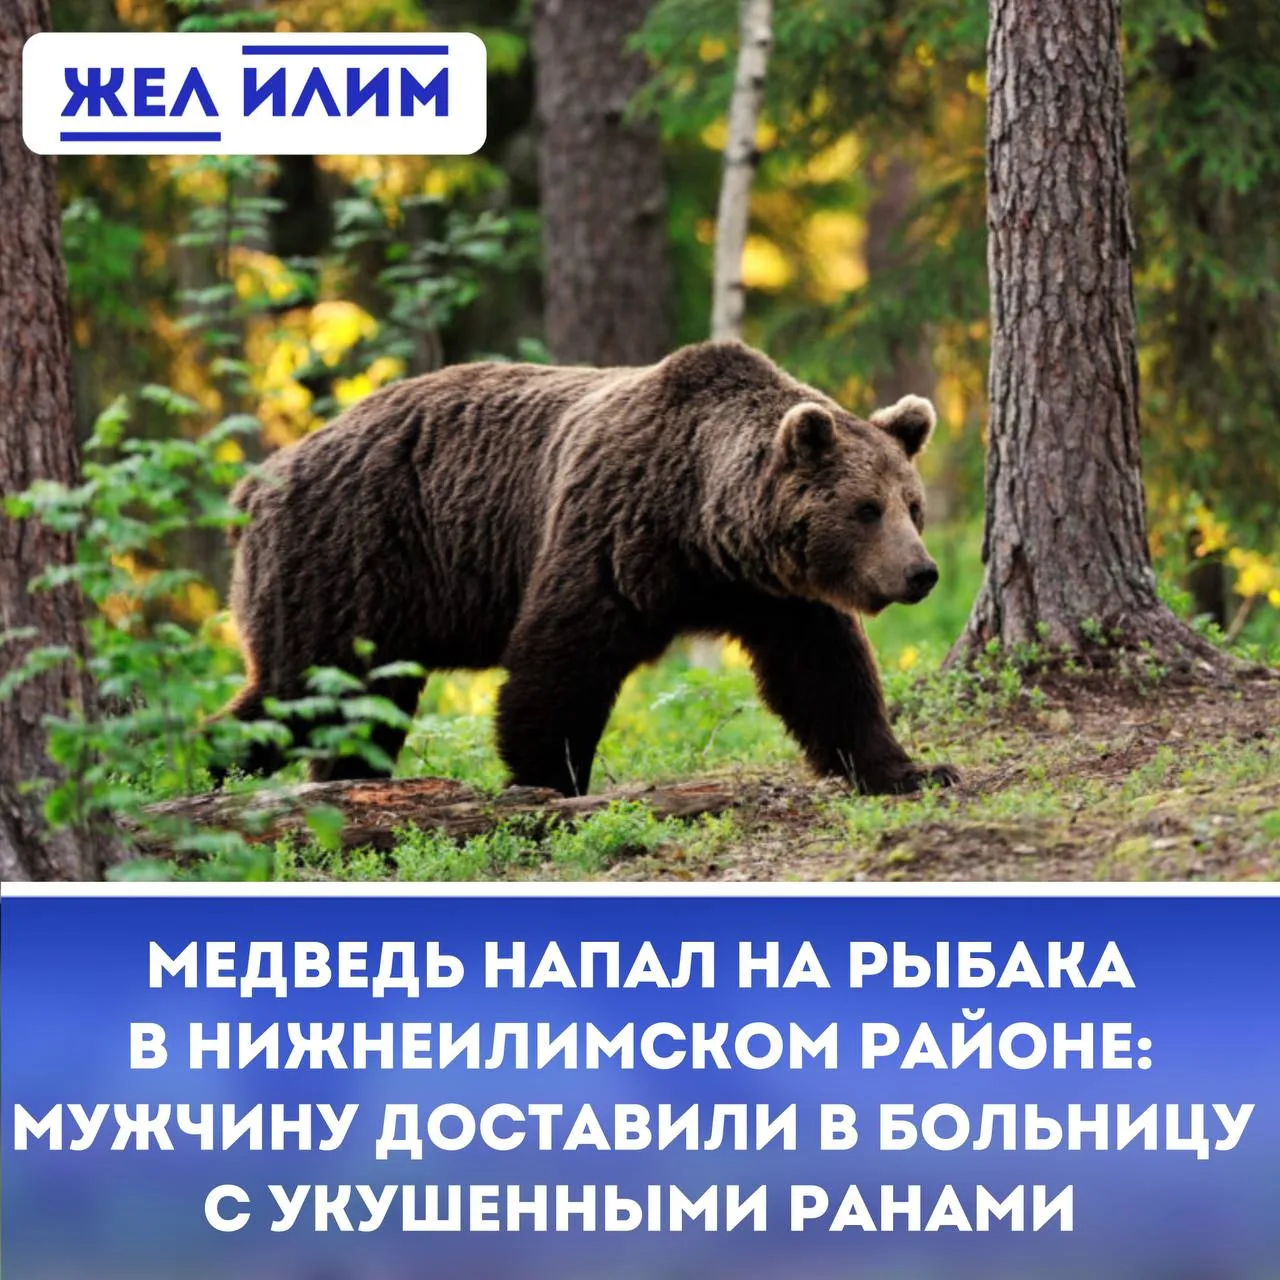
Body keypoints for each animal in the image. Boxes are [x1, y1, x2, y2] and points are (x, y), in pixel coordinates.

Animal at [217, 340, 958, 797]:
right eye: (866, 509)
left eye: (912, 506)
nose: (921, 573)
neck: (704, 526)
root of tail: (258, 480)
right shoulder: (613, 534)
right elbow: (561, 662)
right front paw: (549, 779)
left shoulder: (775, 594)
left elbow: (827, 676)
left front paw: (910, 770)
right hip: (349, 559)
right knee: (300, 689)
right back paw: (206, 761)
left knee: (357, 707)